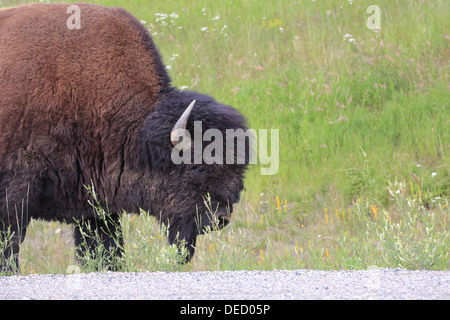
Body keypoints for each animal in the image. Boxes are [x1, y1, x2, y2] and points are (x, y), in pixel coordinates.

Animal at [0, 3, 250, 272]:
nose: (220, 218)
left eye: (239, 173)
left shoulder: (95, 205)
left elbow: (107, 248)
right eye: (199, 168)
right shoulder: (16, 190)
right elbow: (11, 242)